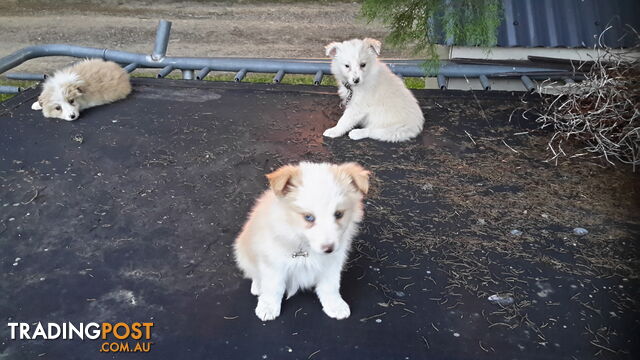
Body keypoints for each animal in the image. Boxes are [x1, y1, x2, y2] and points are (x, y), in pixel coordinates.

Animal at [234, 162, 370, 320]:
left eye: (338, 214)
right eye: (308, 217)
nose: (329, 249)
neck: (304, 245)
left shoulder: (332, 262)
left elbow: (330, 286)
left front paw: (335, 305)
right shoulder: (273, 263)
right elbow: (273, 287)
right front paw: (268, 307)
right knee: (254, 273)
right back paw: (257, 286)